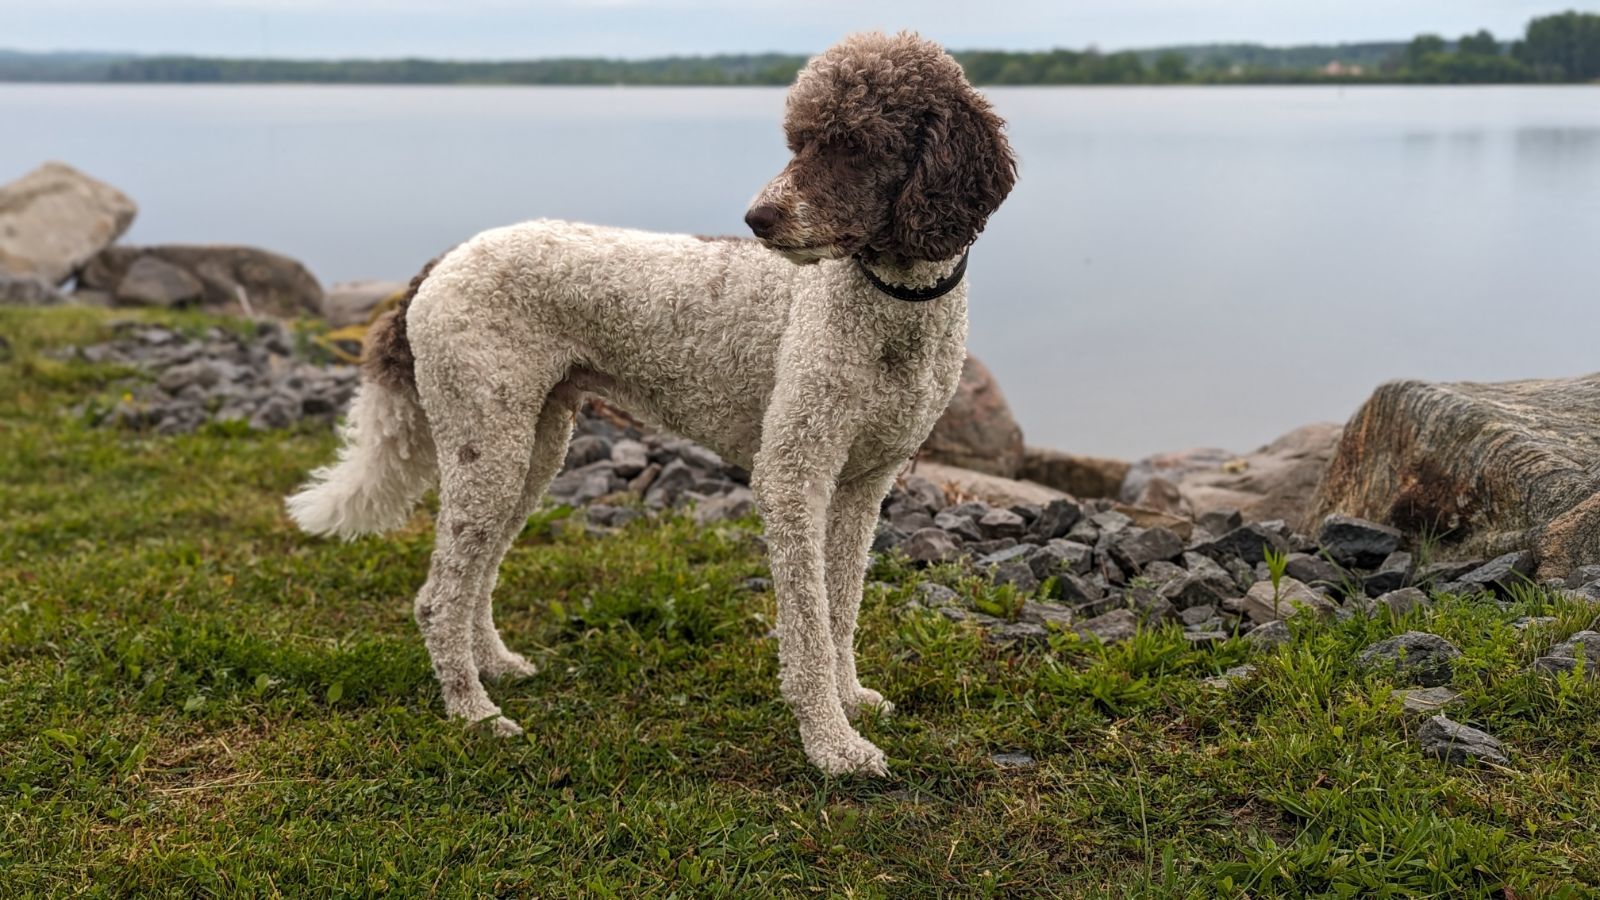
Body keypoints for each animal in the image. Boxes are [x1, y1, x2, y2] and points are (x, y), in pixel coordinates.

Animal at [286, 31, 1011, 775]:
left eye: (857, 144)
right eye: (799, 138)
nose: (758, 218)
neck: (891, 308)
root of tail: (441, 262)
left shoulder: (863, 486)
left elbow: (840, 609)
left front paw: (852, 701)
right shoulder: (794, 476)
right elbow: (808, 626)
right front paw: (832, 746)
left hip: (531, 447)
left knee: (477, 571)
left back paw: (494, 665)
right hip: (486, 442)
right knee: (437, 599)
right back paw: (473, 713)